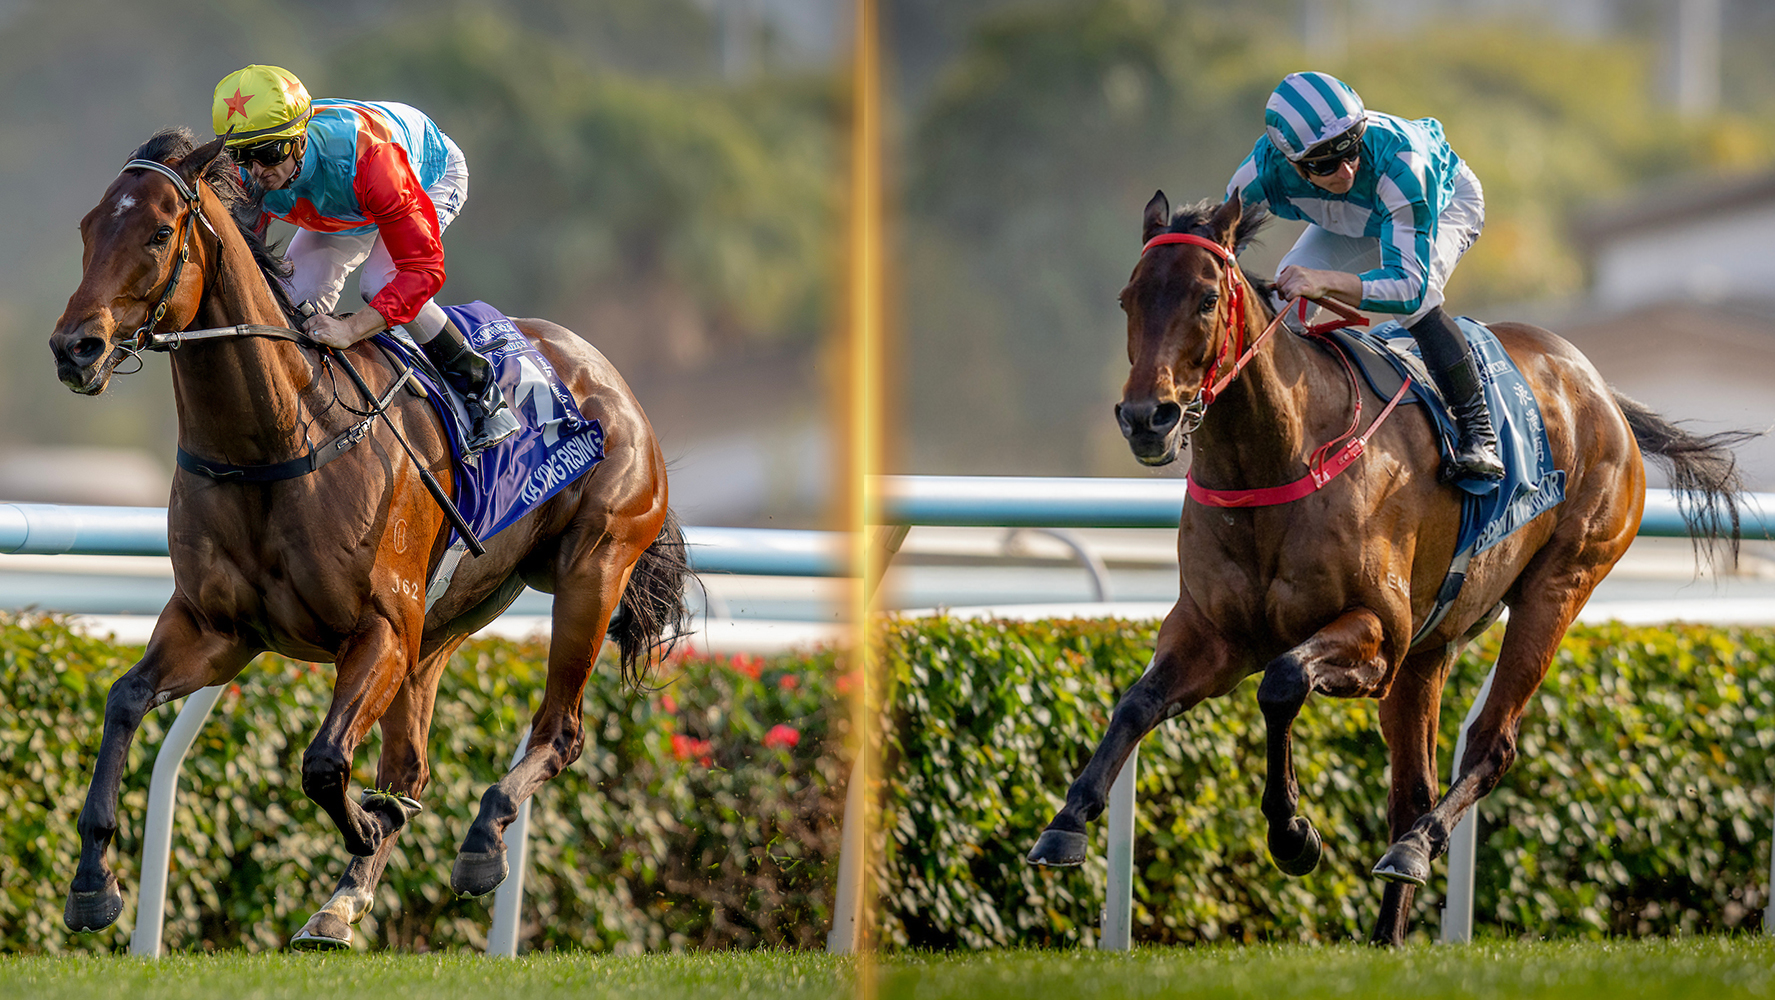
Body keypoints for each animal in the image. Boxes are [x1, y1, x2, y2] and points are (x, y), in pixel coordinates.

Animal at [49, 128, 690, 949]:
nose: (75, 348)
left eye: (161, 232)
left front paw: (366, 826)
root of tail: (607, 376)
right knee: (411, 765)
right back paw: (346, 896)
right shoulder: (218, 628)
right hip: (445, 622)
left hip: (592, 567)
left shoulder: (379, 627)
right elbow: (124, 700)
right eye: (87, 228)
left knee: (559, 731)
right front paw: (92, 884)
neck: (279, 439)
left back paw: (479, 843)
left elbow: (324, 763)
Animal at [1024, 191, 1751, 945]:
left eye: (1204, 298)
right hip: (1431, 647)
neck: (1278, 458)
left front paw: (1292, 834)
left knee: (1490, 746)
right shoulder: (1215, 634)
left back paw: (1415, 849)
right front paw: (1065, 824)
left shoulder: (1376, 635)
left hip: (1558, 587)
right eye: (1128, 298)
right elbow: (1136, 703)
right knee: (1412, 787)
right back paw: (1387, 930)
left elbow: (1282, 683)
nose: (1147, 418)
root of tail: (1601, 390)